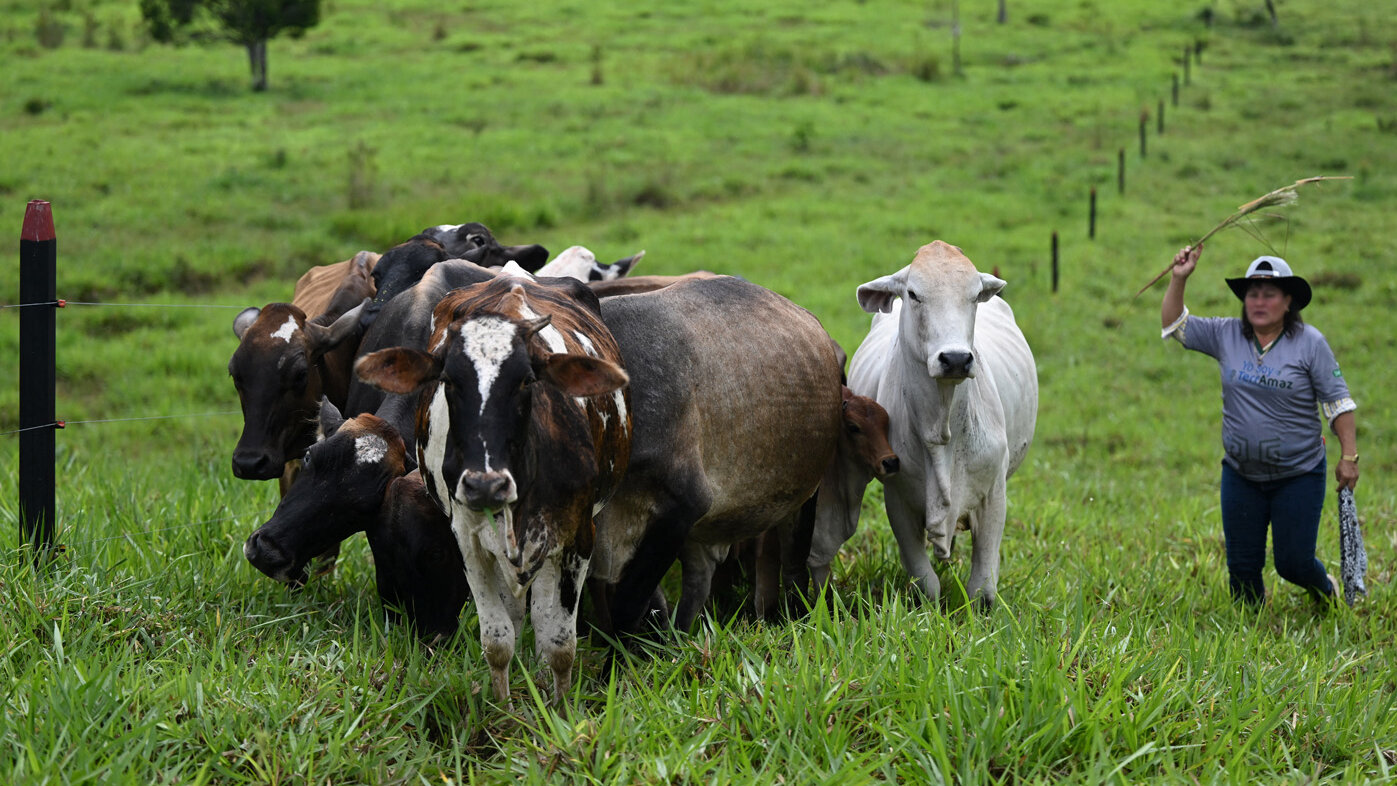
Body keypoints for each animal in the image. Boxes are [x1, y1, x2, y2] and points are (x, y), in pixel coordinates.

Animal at [352, 272, 631, 706]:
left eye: (527, 380)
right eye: (448, 381)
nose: (486, 484)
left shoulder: (579, 537)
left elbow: (560, 641)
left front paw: (559, 707)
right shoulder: (467, 540)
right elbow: (498, 639)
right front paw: (504, 708)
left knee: (542, 615)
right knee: (518, 615)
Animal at [838, 240, 1039, 608]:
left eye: (974, 295)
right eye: (913, 294)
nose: (956, 358)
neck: (941, 430)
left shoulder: (994, 495)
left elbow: (982, 588)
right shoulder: (897, 499)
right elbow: (925, 581)